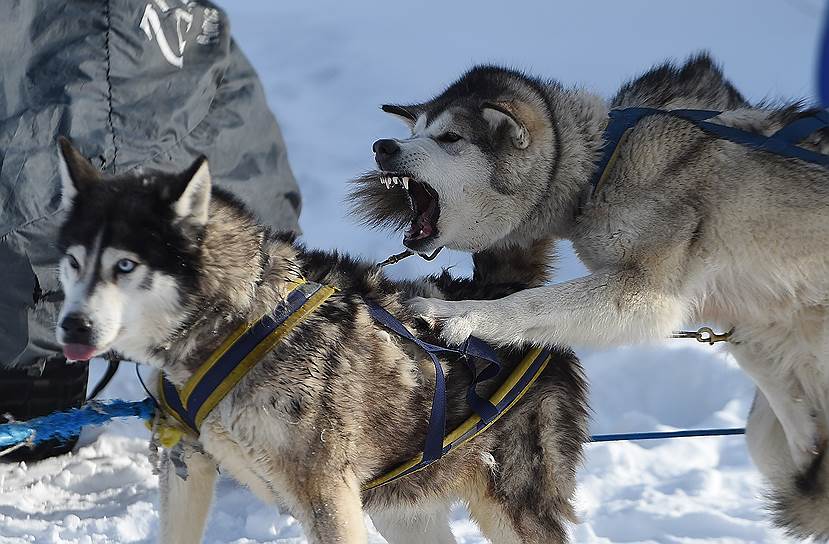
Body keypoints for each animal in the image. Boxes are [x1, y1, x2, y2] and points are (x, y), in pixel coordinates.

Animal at [55, 137, 584, 544]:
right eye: (74, 261)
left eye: (125, 265)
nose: (72, 325)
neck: (241, 318)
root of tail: (502, 294)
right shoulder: (187, 462)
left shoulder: (326, 494)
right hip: (404, 507)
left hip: (508, 506)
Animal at [350, 53, 828, 536]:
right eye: (416, 132)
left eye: (449, 138)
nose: (383, 147)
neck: (601, 165)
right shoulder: (753, 319)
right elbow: (776, 390)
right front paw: (807, 448)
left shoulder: (647, 292)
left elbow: (527, 303)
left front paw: (458, 314)